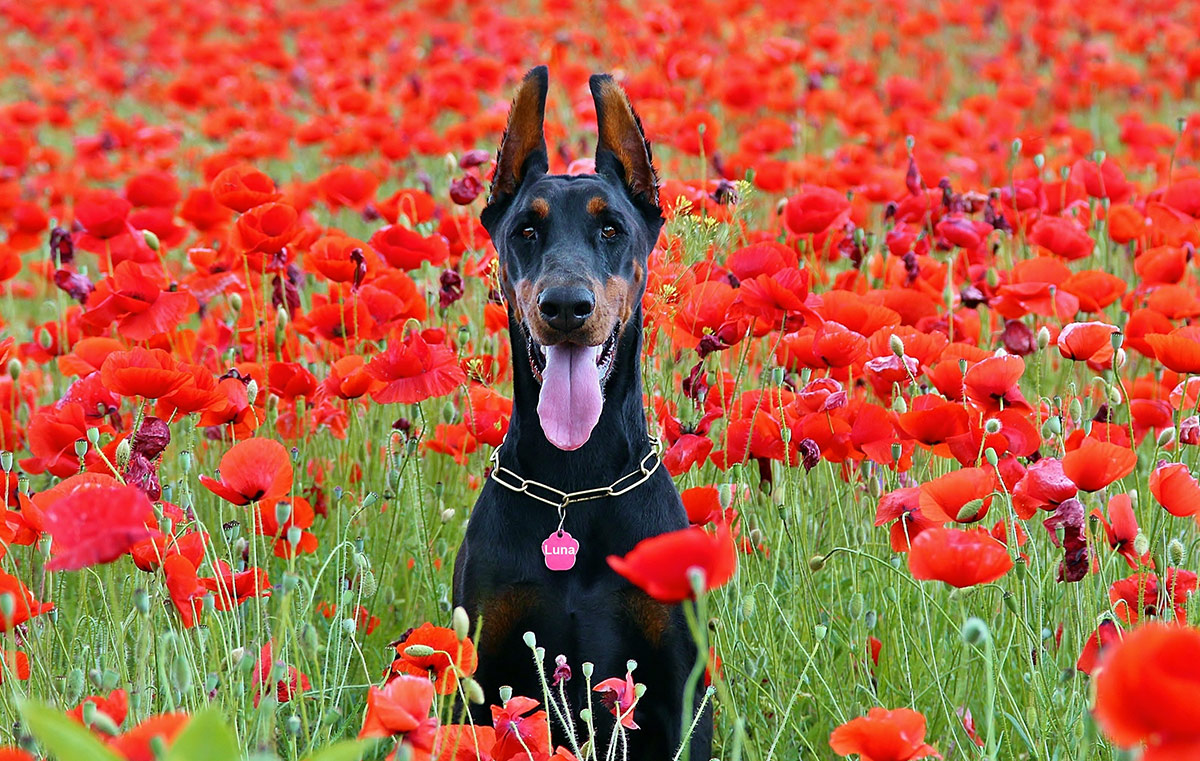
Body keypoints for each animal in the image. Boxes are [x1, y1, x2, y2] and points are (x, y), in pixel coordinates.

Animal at [451, 66, 710, 758]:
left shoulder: (680, 687)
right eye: (526, 230)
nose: (565, 306)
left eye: (611, 228)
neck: (575, 483)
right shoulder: (481, 677)